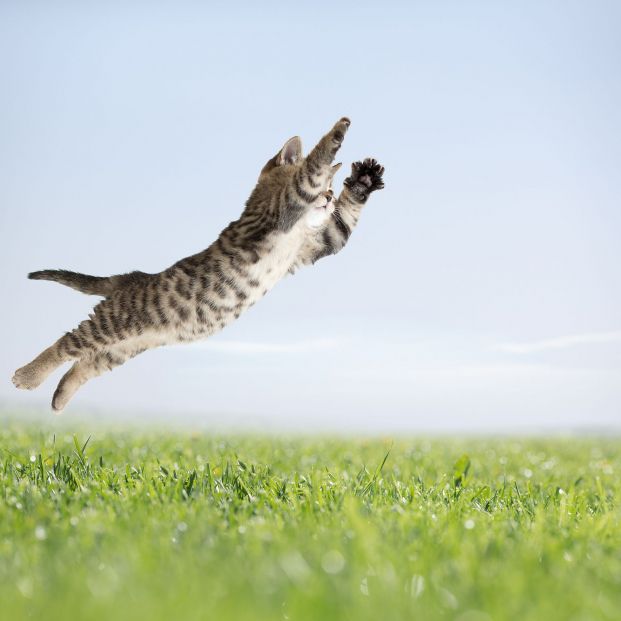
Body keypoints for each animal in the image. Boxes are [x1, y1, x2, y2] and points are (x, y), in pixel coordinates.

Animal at [10, 117, 382, 412]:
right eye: (326, 189)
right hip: (116, 322)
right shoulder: (290, 199)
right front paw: (339, 129)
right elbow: (314, 164)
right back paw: (27, 376)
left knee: (83, 366)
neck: (297, 228)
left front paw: (363, 182)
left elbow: (342, 224)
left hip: (125, 347)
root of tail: (133, 277)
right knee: (66, 343)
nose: (330, 197)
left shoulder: (316, 243)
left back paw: (59, 399)